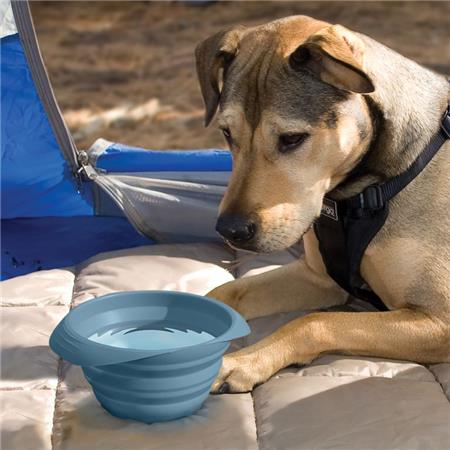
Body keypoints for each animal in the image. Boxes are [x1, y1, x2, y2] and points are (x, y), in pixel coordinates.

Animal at [194, 15, 450, 392]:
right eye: (227, 133)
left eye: (292, 139)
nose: (230, 230)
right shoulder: (317, 277)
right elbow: (226, 292)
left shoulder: (438, 319)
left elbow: (314, 322)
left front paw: (244, 361)